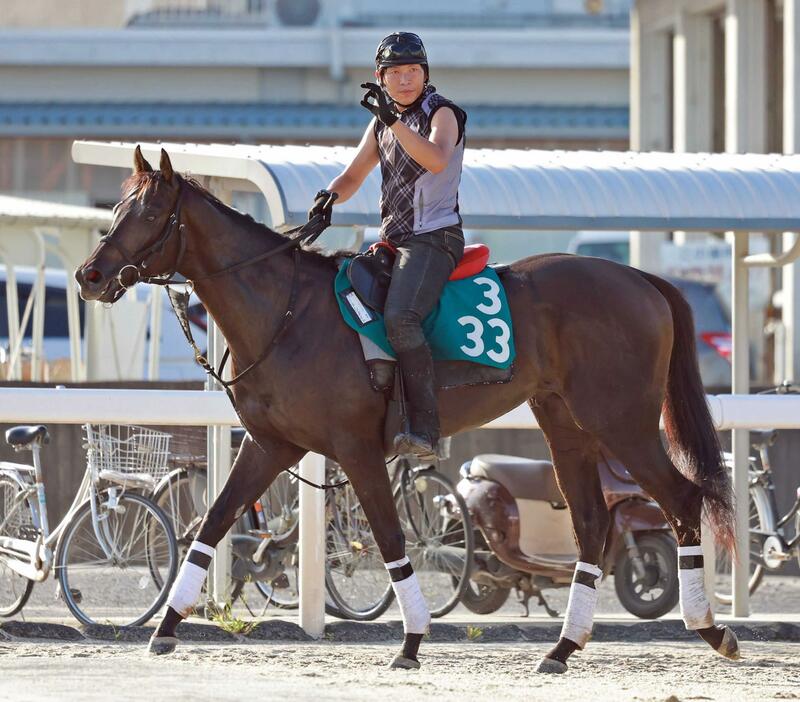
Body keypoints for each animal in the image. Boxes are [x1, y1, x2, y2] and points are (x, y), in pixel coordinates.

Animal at [75, 148, 736, 676]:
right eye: (117, 207)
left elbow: (392, 540)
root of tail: (643, 279)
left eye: (148, 214)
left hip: (621, 421)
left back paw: (710, 628)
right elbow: (211, 526)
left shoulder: (358, 451)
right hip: (565, 424)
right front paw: (165, 628)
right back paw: (562, 648)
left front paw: (412, 641)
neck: (288, 312)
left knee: (682, 499)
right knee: (593, 525)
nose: (89, 274)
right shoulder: (270, 445)